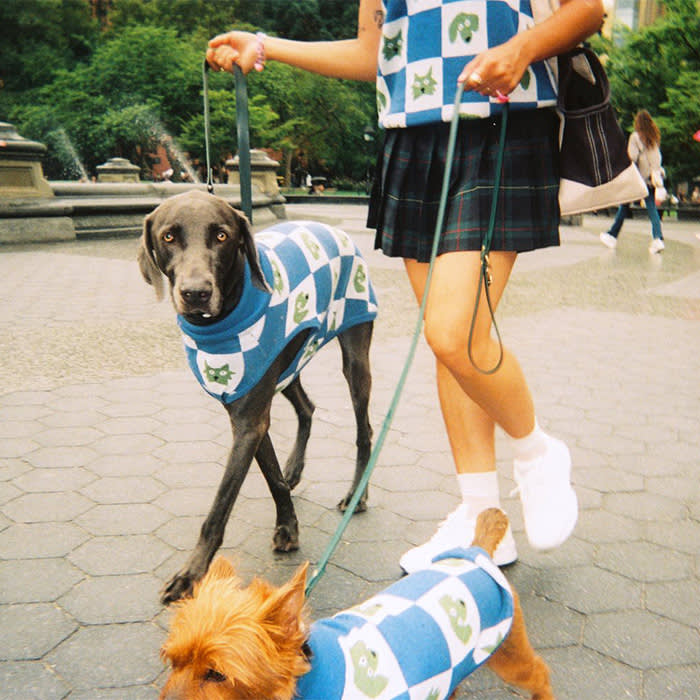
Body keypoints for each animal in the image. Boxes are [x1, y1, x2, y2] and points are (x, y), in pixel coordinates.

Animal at [138, 190, 378, 600]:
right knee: (307, 408)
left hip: (354, 356)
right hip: (288, 367)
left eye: (221, 236)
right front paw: (288, 525)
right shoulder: (248, 411)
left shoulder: (250, 419)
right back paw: (296, 467)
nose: (196, 293)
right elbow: (273, 477)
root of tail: (336, 230)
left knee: (364, 430)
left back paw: (356, 495)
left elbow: (219, 508)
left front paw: (192, 573)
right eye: (168, 236)